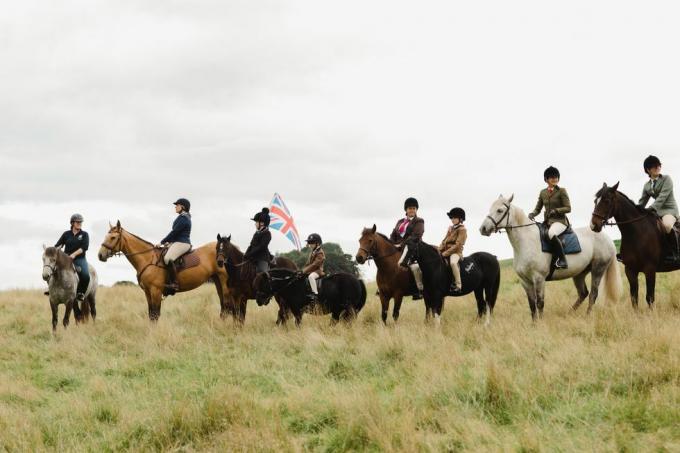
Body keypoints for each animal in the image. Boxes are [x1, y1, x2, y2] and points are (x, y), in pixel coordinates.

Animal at [97, 220, 232, 322]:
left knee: (227, 304)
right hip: (217, 281)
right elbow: (151, 314)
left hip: (224, 283)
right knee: (224, 306)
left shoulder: (156, 291)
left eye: (113, 237)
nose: (100, 255)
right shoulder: (147, 292)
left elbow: (155, 314)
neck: (147, 258)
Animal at [478, 193, 620, 318]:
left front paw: (540, 324)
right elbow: (531, 304)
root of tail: (607, 238)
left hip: (598, 269)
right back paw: (568, 313)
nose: (483, 229)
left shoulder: (539, 278)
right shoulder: (525, 281)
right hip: (579, 273)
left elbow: (540, 303)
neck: (526, 242)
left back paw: (587, 316)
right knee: (583, 293)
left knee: (593, 294)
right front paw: (534, 324)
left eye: (500, 210)